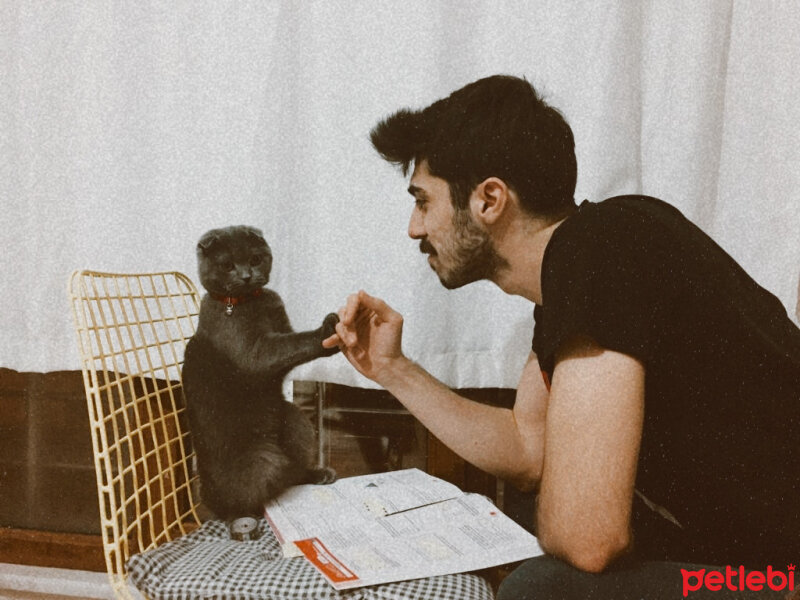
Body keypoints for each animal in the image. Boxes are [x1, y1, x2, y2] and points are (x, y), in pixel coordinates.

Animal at [184, 225, 338, 520]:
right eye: (227, 265)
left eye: (255, 259)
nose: (246, 276)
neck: (252, 302)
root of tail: (207, 495)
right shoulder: (254, 353)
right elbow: (292, 343)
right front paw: (327, 332)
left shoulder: (281, 329)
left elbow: (291, 346)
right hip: (262, 459)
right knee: (252, 493)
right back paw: (246, 515)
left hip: (296, 420)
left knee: (292, 472)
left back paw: (319, 474)